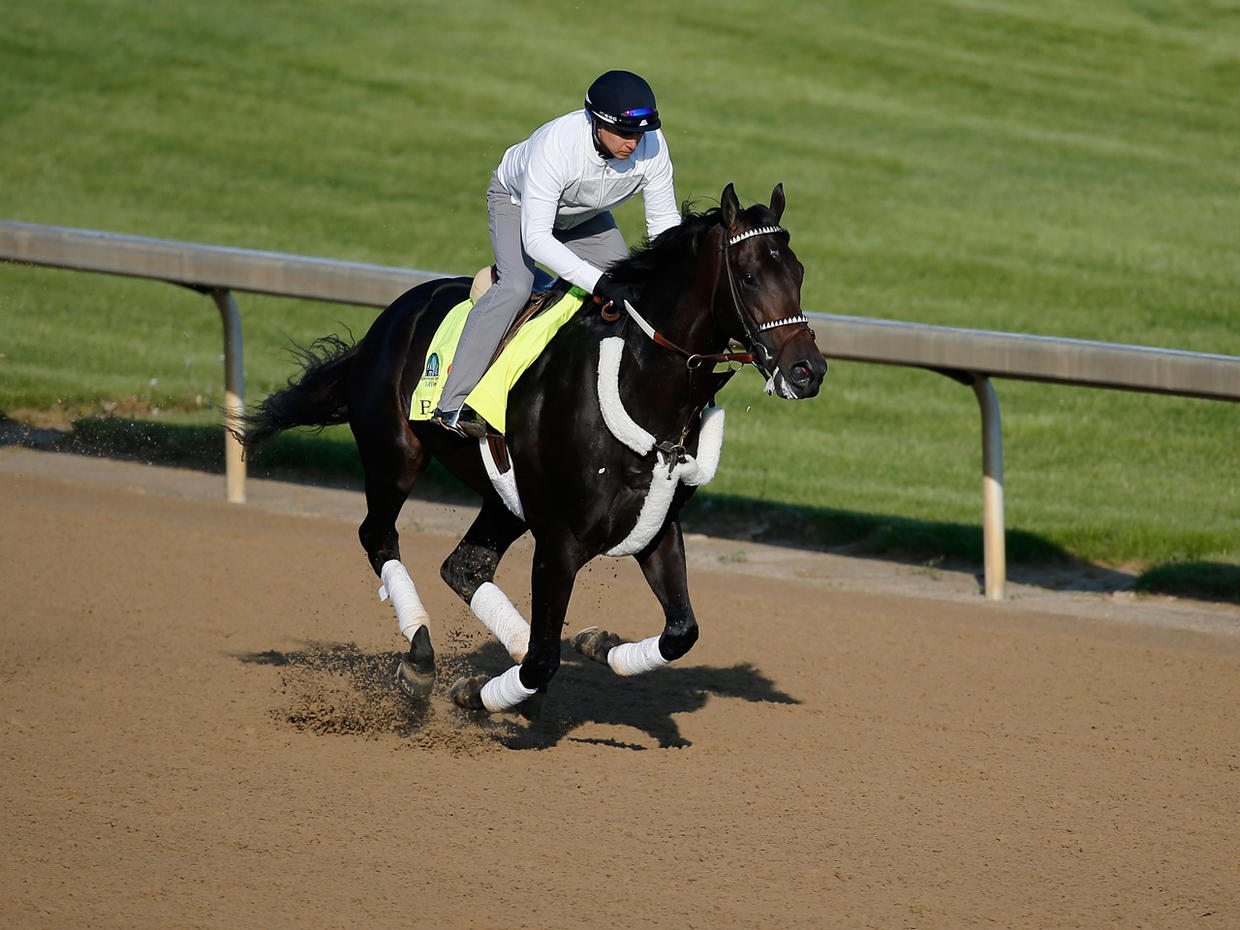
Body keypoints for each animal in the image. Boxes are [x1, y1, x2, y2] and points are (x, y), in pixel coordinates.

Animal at [240, 186, 823, 719]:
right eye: (748, 276)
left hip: (506, 499)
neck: (635, 381)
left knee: (464, 567)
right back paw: (421, 660)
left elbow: (682, 632)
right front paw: (476, 691)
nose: (808, 370)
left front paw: (598, 644)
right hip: (395, 457)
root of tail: (391, 318)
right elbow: (543, 663)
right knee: (379, 537)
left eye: (797, 273)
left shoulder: (657, 527)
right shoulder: (558, 542)